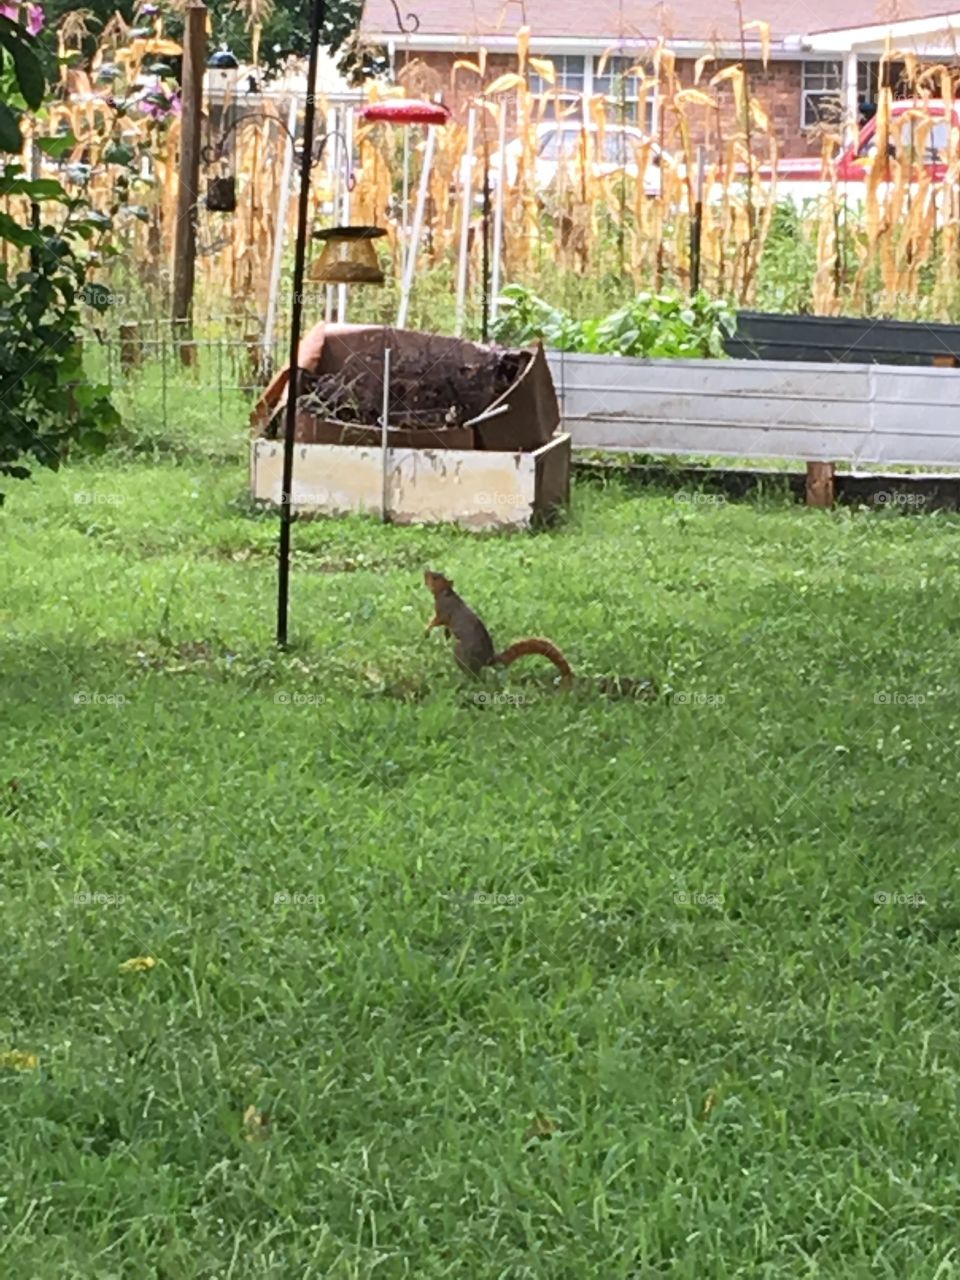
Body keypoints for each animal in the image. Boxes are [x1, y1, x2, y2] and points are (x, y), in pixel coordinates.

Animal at [424, 569, 572, 688]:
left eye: (435, 578)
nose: (425, 571)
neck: (445, 594)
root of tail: (488, 659)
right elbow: (446, 627)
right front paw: (446, 634)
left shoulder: (443, 612)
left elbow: (437, 621)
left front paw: (427, 629)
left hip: (461, 654)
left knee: (475, 676)